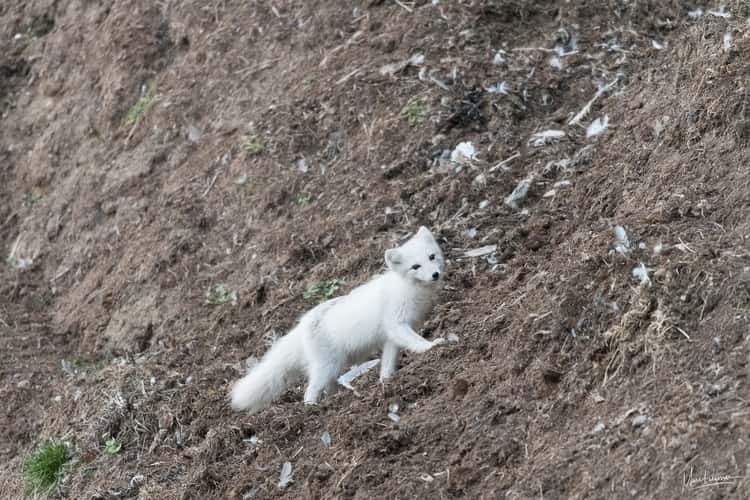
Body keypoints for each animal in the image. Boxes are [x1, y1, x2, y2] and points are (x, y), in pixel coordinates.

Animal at [230, 226, 446, 413]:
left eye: (432, 256)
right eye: (415, 267)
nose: (435, 274)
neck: (410, 290)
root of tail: (302, 325)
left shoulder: (391, 337)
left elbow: (388, 363)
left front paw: (387, 382)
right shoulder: (397, 325)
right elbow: (416, 341)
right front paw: (432, 345)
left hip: (333, 367)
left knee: (328, 387)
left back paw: (336, 399)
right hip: (327, 366)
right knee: (310, 390)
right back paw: (312, 408)